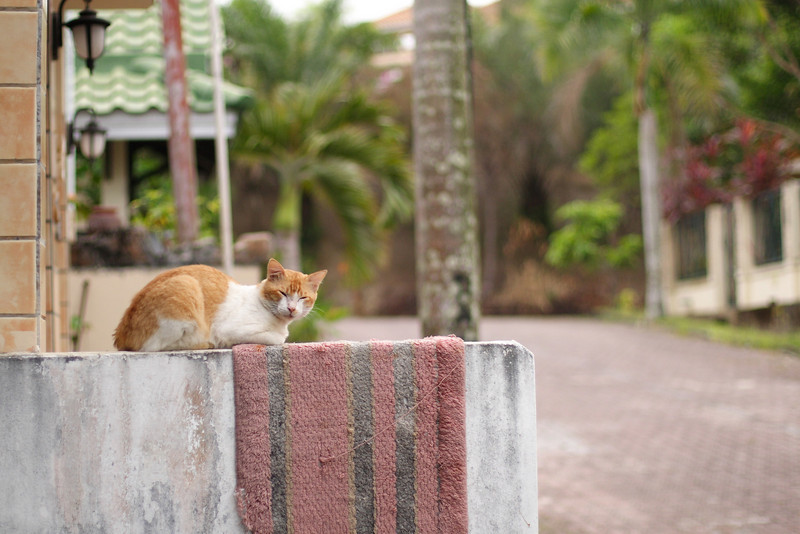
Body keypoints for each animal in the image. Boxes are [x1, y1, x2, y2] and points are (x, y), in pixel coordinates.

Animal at [111, 258, 326, 352]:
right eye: (282, 293)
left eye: (302, 298)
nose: (291, 308)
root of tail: (121, 333)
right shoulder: (229, 330)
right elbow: (277, 338)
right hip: (186, 287)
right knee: (156, 346)